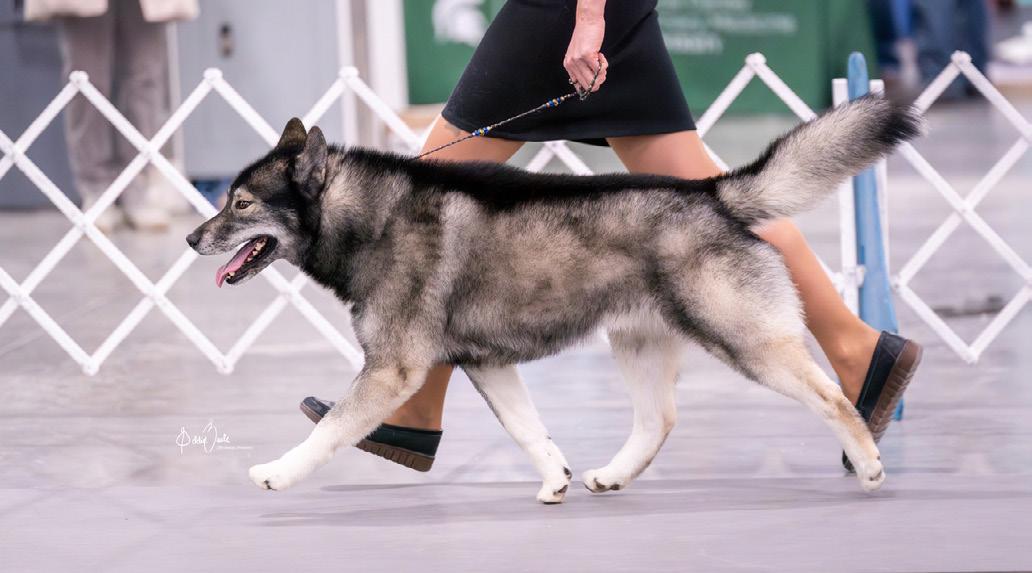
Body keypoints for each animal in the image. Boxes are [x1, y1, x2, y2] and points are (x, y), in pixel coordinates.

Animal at [186, 96, 921, 503]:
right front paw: (555, 479)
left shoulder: (394, 369)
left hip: (744, 339)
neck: (370, 216)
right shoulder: (485, 363)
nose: (193, 237)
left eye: (240, 204)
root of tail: (710, 193)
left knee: (829, 397)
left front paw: (278, 472)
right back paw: (612, 476)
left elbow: (332, 427)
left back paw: (870, 460)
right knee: (658, 420)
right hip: (638, 340)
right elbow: (527, 429)